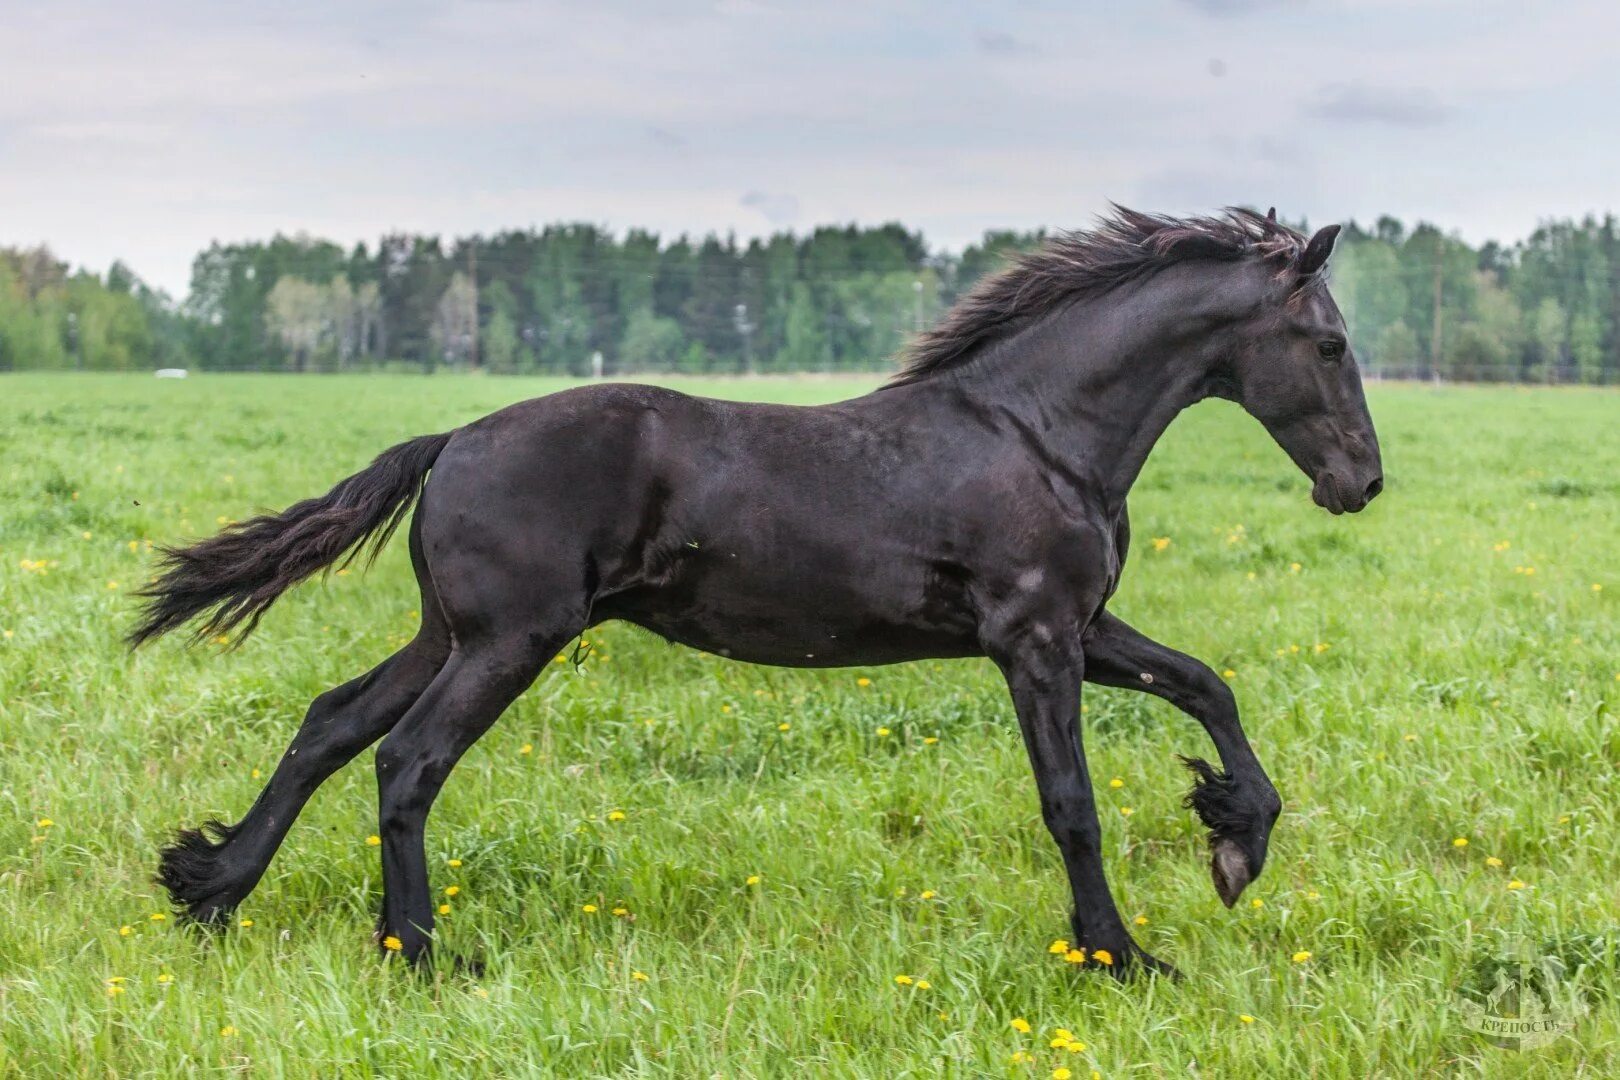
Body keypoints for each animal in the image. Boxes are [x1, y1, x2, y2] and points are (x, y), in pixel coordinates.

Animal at [132, 207, 1386, 977]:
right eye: (1328, 345)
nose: (1361, 482)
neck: (1040, 435)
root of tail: (451, 443)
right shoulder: (1036, 640)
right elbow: (1071, 802)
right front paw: (1121, 955)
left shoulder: (1082, 626)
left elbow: (1207, 686)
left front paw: (1236, 841)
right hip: (509, 640)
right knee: (407, 759)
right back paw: (422, 952)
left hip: (451, 632)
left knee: (331, 722)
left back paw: (210, 885)